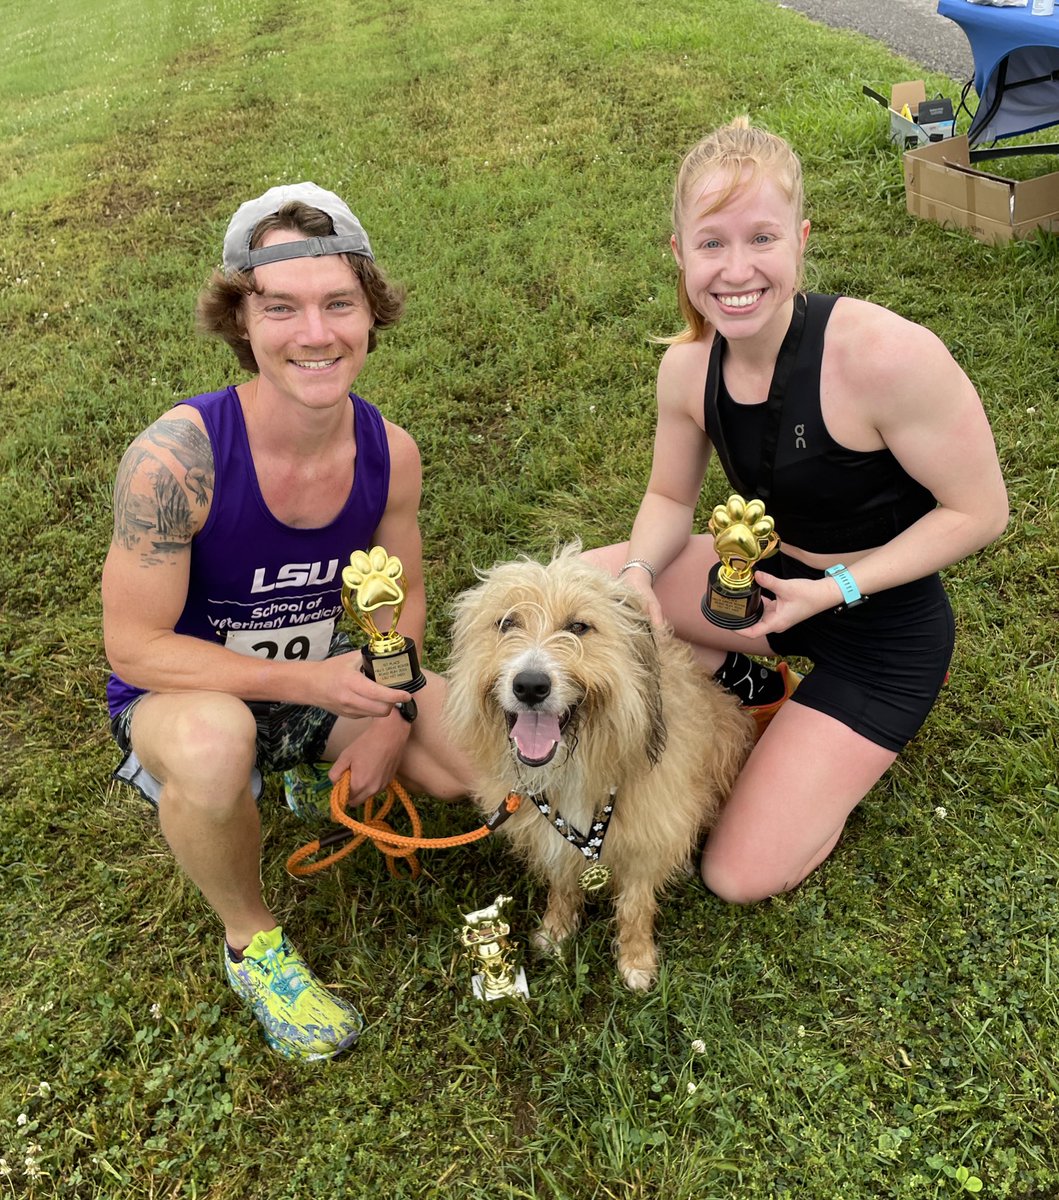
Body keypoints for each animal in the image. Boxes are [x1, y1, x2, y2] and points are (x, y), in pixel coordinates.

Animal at [441, 549, 754, 988]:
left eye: (579, 626)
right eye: (506, 623)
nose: (530, 686)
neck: (577, 763)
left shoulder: (649, 835)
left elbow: (636, 905)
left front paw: (637, 959)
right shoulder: (553, 836)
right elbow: (562, 882)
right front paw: (556, 930)